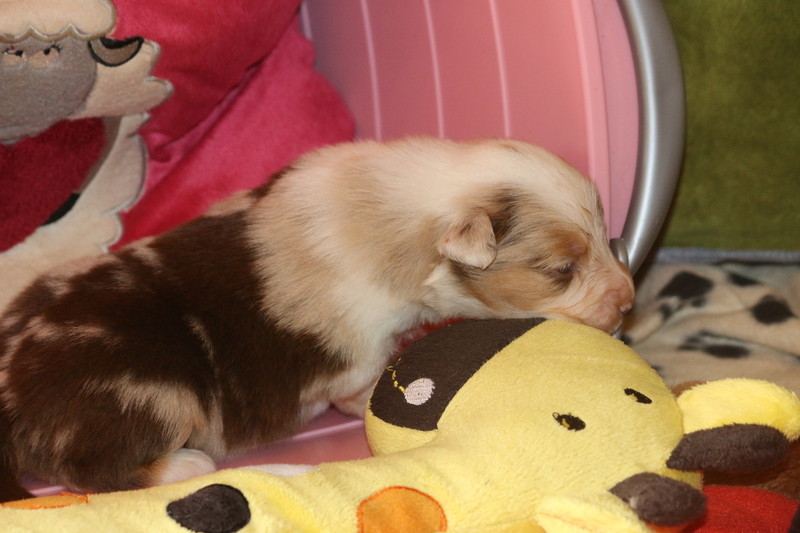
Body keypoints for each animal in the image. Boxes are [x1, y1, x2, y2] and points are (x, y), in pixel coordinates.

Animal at [0, 137, 634, 500]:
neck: (397, 223)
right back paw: (186, 464)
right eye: (560, 269)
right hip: (155, 394)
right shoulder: (360, 350)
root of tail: (12, 394)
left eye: (607, 236)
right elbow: (363, 387)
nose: (630, 302)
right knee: (91, 471)